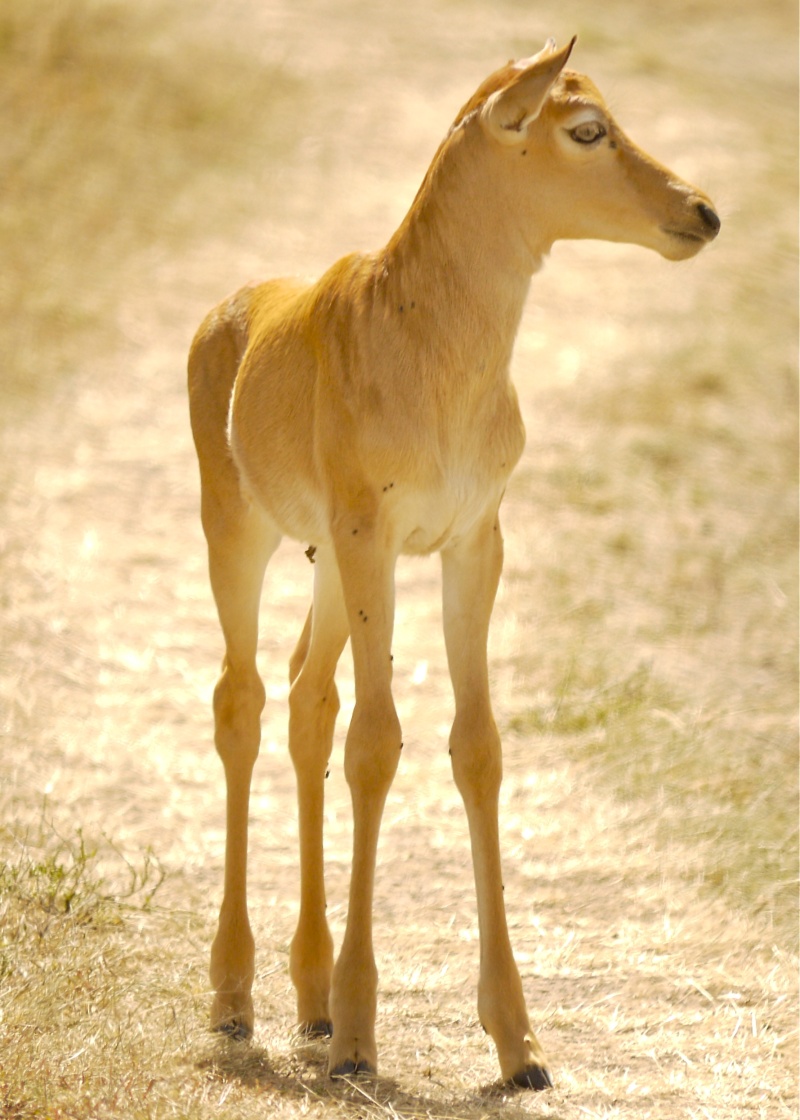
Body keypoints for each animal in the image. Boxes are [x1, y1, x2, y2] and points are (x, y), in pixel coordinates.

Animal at [184, 39, 717, 1088]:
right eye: (584, 127)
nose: (701, 210)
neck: (418, 338)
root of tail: (230, 315)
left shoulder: (473, 541)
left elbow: (475, 746)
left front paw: (520, 1046)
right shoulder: (373, 536)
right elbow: (377, 742)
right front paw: (361, 1036)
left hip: (323, 565)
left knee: (307, 696)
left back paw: (307, 999)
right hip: (242, 531)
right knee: (244, 698)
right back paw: (237, 1000)